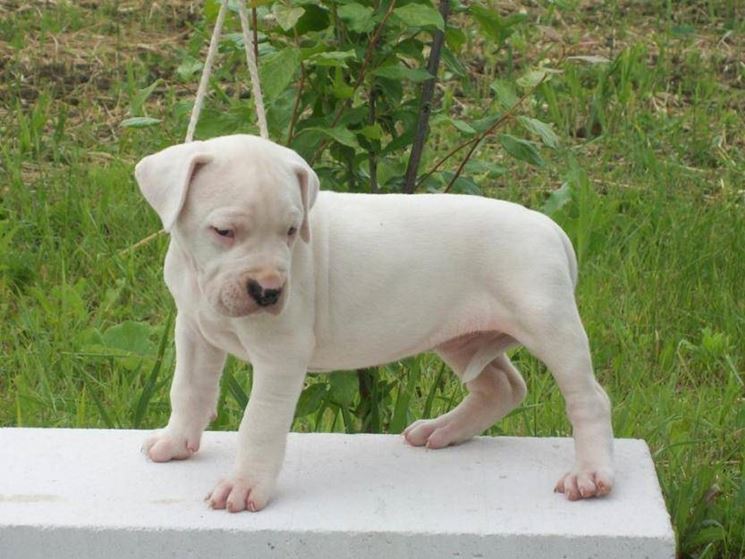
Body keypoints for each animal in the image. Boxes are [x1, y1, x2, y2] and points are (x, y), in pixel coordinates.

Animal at [137, 135, 612, 512]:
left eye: (291, 231)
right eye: (223, 231)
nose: (269, 291)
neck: (201, 278)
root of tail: (551, 228)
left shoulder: (280, 357)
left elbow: (259, 423)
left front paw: (244, 484)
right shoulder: (194, 331)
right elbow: (189, 390)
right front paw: (175, 442)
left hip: (550, 325)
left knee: (589, 398)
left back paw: (590, 474)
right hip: (460, 337)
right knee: (503, 387)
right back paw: (443, 430)